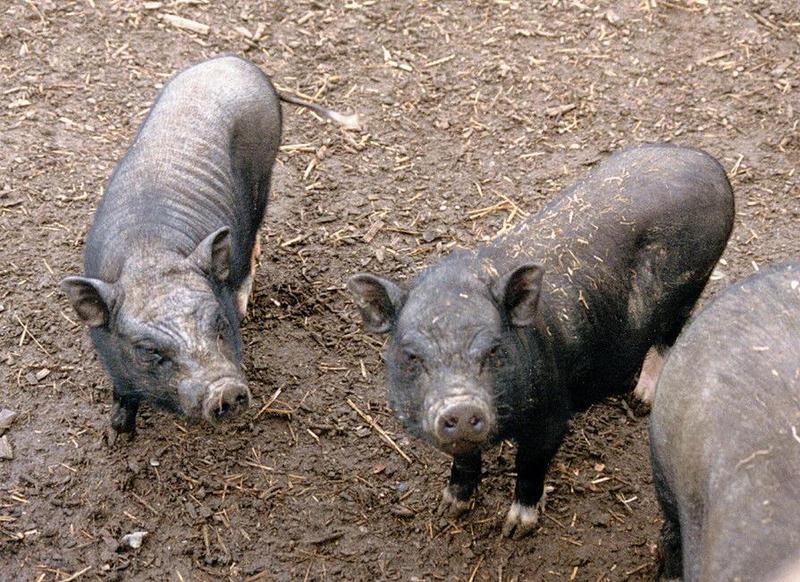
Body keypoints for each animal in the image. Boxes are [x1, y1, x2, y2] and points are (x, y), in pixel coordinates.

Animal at [346, 145, 736, 540]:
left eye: (494, 350)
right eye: (413, 356)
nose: (461, 406)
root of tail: (708, 164)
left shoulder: (551, 414)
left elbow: (530, 466)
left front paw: (516, 530)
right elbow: (464, 460)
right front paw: (449, 509)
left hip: (693, 282)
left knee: (668, 335)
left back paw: (640, 400)